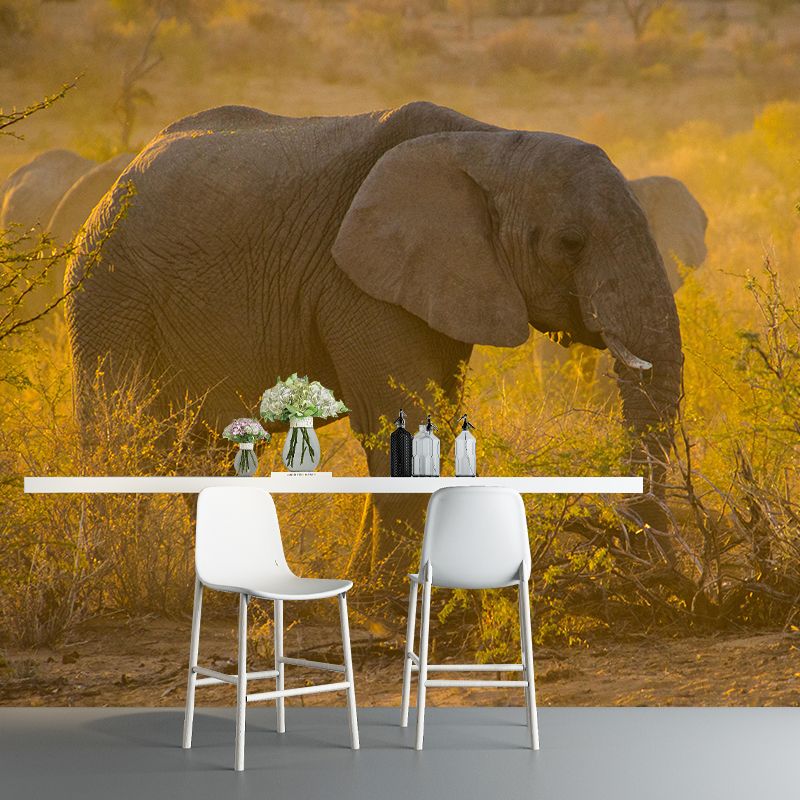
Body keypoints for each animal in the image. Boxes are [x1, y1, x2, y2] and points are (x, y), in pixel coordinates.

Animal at [66, 101, 682, 579]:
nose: (629, 543)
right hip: (108, 292)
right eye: (570, 242)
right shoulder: (355, 281)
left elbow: (435, 408)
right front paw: (387, 597)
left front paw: (372, 584)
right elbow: (396, 406)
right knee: (119, 435)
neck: (491, 142)